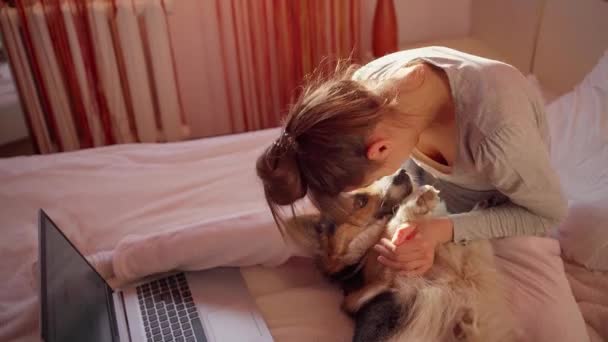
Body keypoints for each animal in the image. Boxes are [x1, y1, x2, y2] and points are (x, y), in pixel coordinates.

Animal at [288, 169, 516, 342]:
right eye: (360, 201)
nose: (402, 172)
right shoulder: (373, 283)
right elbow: (392, 226)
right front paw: (419, 201)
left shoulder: (471, 262)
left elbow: (470, 240)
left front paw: (484, 206)